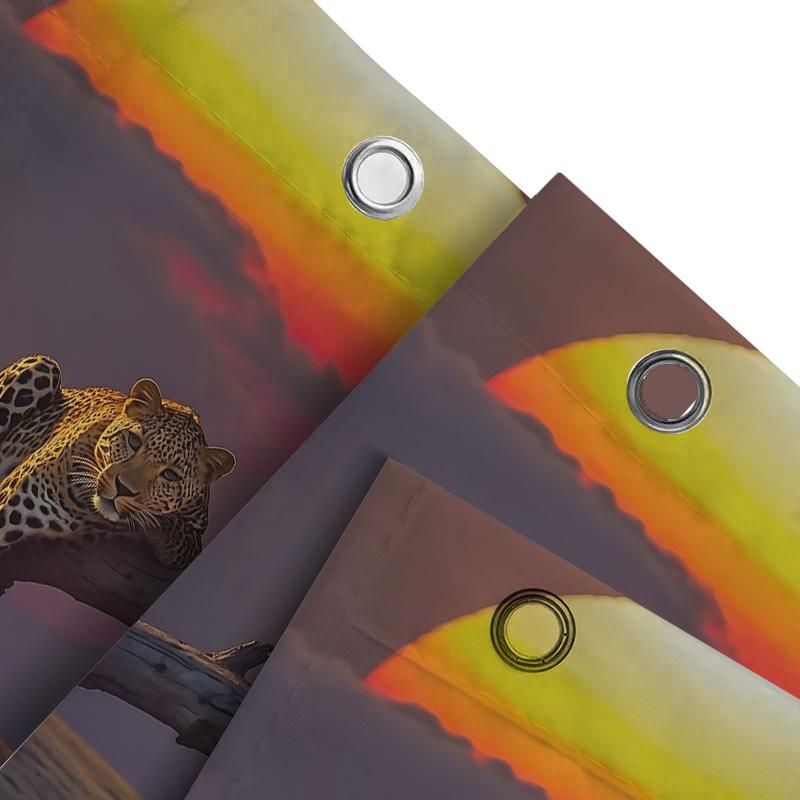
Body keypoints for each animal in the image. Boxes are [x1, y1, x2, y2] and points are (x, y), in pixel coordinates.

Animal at [0, 355, 235, 568]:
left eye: (170, 475)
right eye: (133, 441)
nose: (123, 489)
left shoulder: (193, 537)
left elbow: (177, 536)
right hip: (44, 364)